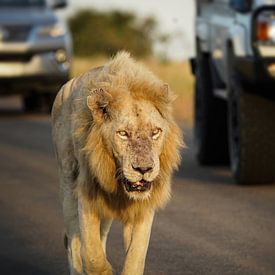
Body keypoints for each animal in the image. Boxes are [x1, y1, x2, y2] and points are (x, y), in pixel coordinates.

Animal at [51, 52, 183, 275]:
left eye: (155, 132)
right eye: (123, 133)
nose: (144, 169)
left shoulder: (143, 208)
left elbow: (135, 257)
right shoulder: (86, 194)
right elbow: (92, 255)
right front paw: (102, 269)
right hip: (68, 184)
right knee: (73, 244)